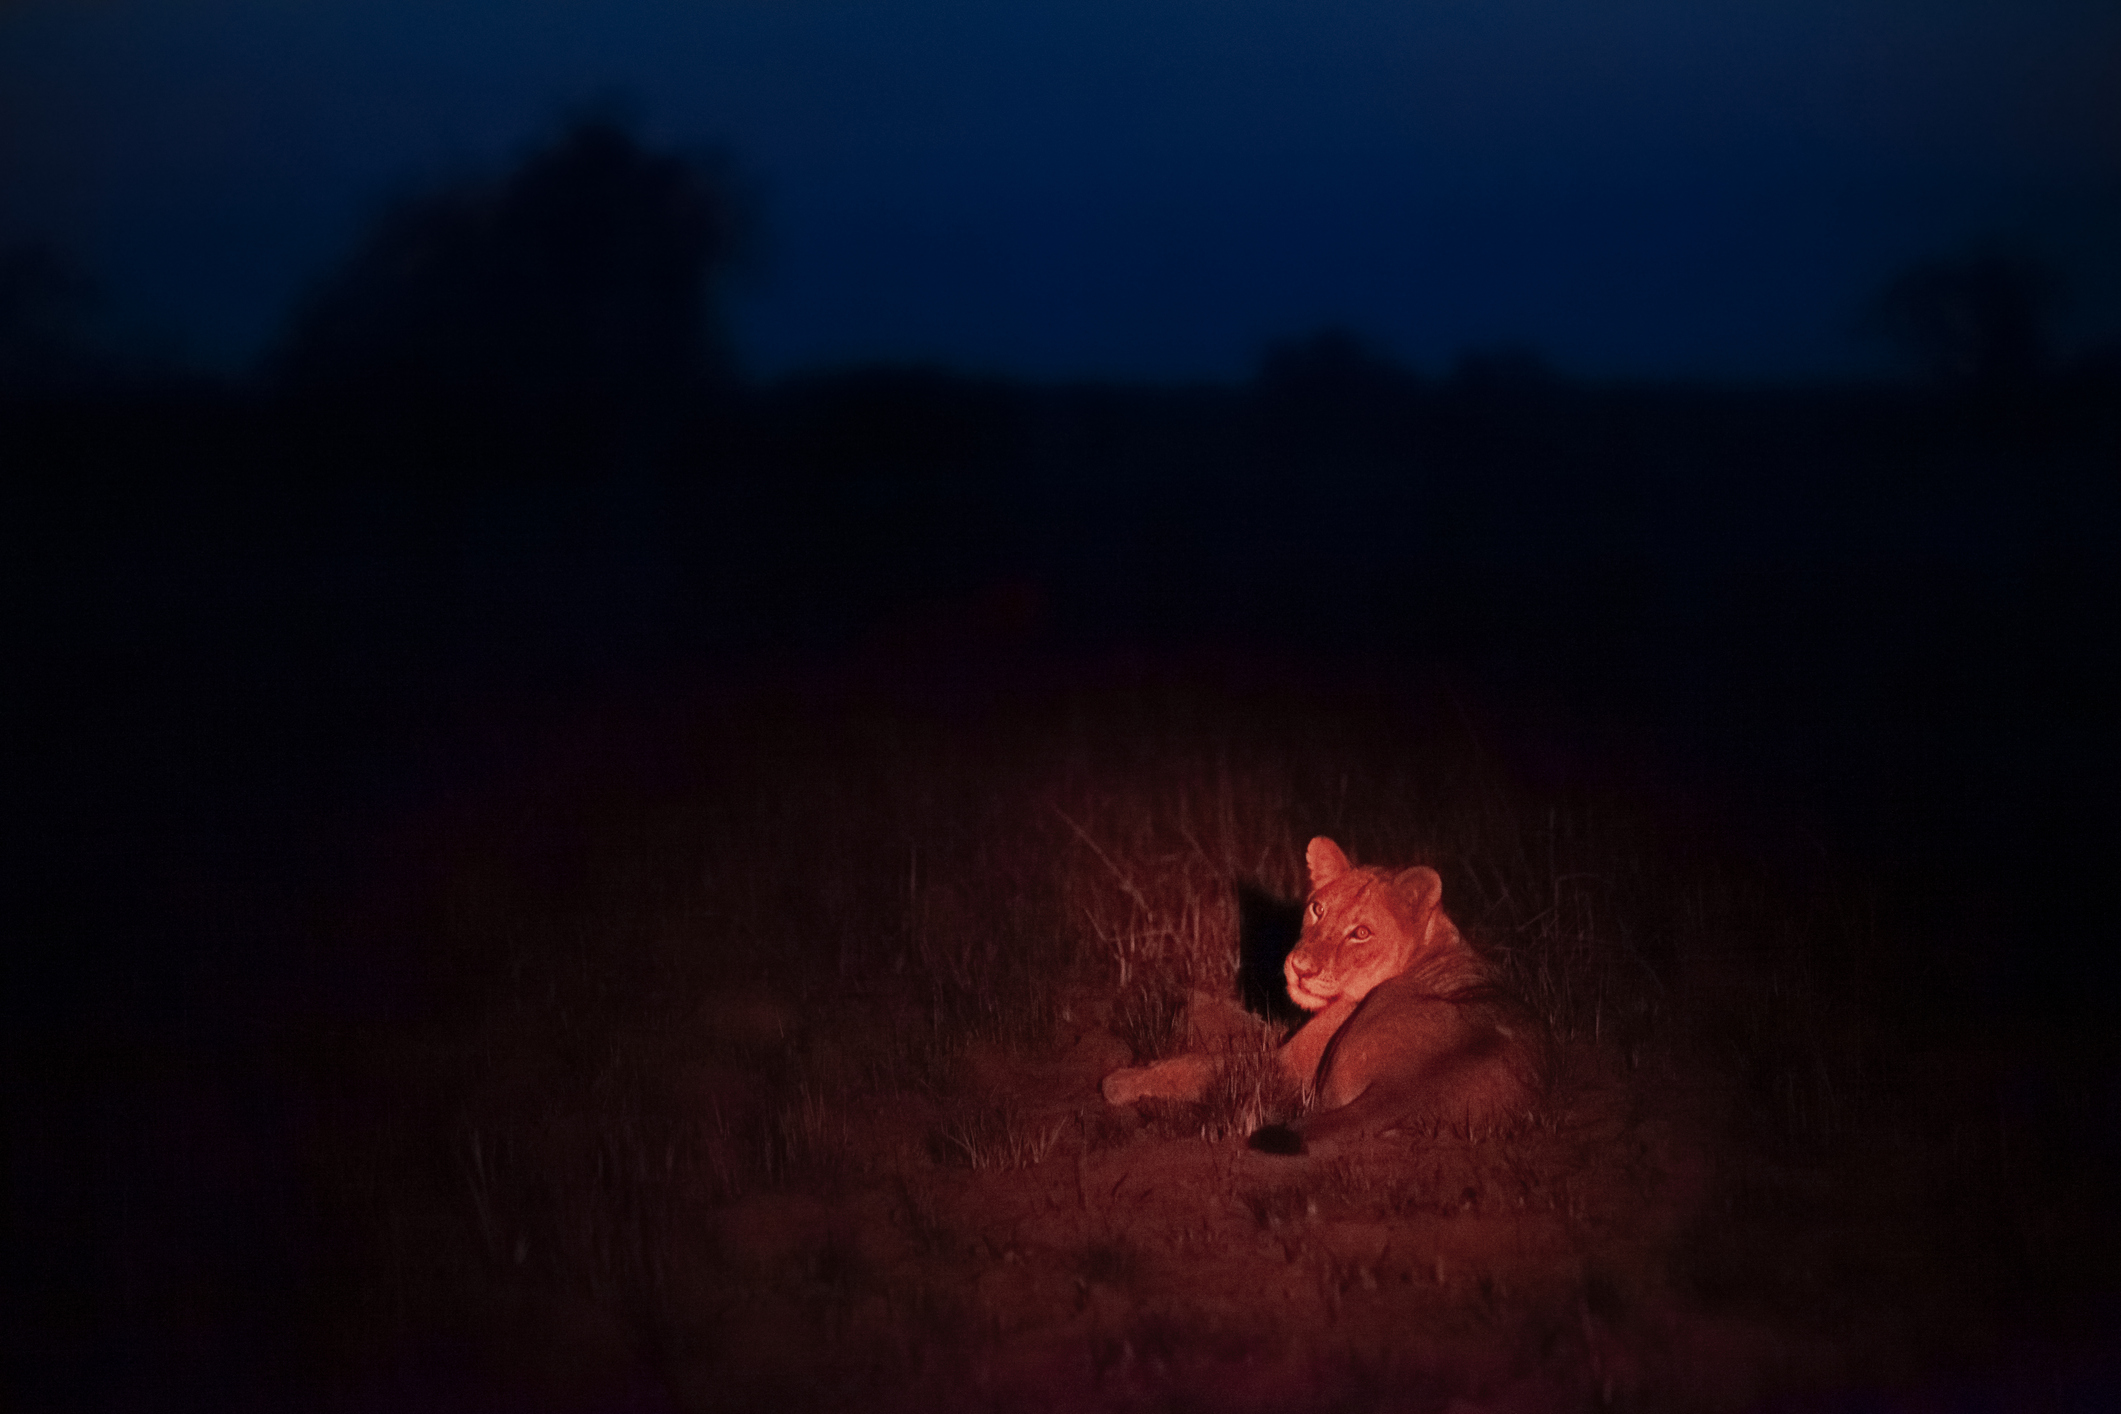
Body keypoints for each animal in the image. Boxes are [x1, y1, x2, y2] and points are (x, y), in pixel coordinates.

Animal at [1101, 836, 1544, 1154]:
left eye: (1361, 933)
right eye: (1317, 909)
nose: (1300, 967)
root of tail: (1410, 1087)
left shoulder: (1288, 1066)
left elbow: (1202, 1064)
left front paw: (1125, 1079)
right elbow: (1233, 1020)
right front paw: (1180, 1000)